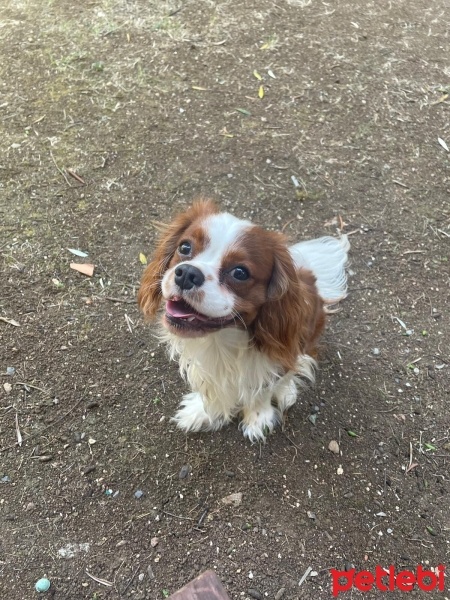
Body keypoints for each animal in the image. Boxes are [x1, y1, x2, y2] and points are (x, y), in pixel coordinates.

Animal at [139, 202, 350, 440]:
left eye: (240, 272)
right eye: (184, 247)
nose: (187, 273)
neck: (221, 339)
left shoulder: (272, 361)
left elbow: (265, 388)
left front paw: (258, 419)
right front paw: (203, 412)